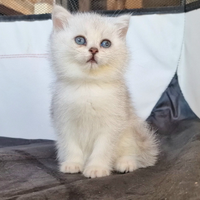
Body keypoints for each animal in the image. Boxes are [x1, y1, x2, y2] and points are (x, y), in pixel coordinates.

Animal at [49, 4, 158, 178]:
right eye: (80, 40)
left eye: (106, 43)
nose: (94, 50)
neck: (89, 85)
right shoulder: (64, 121)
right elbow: (71, 146)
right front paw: (73, 164)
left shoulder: (112, 125)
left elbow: (103, 149)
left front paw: (96, 168)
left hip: (129, 131)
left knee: (132, 153)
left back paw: (125, 164)